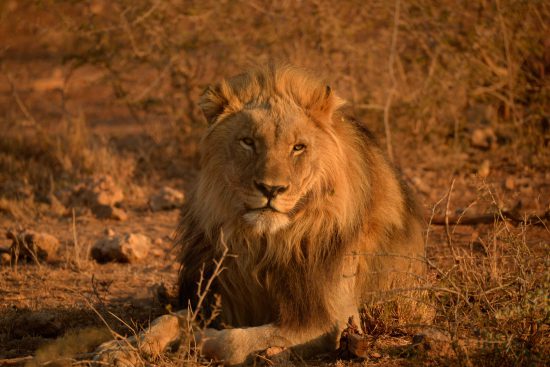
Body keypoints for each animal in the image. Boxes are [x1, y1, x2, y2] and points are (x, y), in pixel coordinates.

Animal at [94, 64, 432, 366]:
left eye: (298, 147)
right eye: (248, 142)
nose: (271, 189)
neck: (265, 243)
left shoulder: (334, 321)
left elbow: (234, 340)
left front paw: (198, 340)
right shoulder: (225, 298)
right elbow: (167, 319)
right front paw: (120, 348)